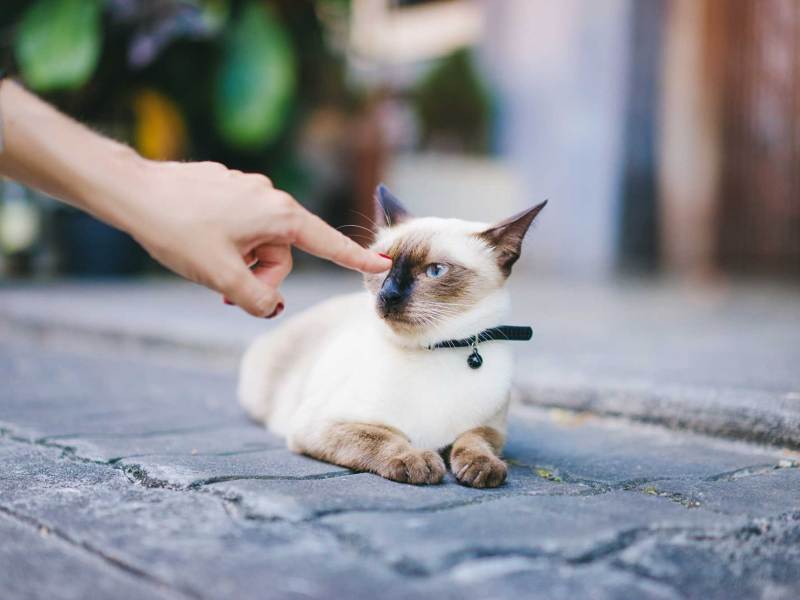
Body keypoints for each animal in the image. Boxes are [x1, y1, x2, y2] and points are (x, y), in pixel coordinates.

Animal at [238, 184, 548, 488]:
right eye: (383, 265)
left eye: (435, 271)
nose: (388, 295)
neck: (436, 349)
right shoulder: (321, 424)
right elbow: (384, 438)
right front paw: (417, 461)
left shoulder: (490, 428)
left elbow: (474, 441)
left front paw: (482, 468)